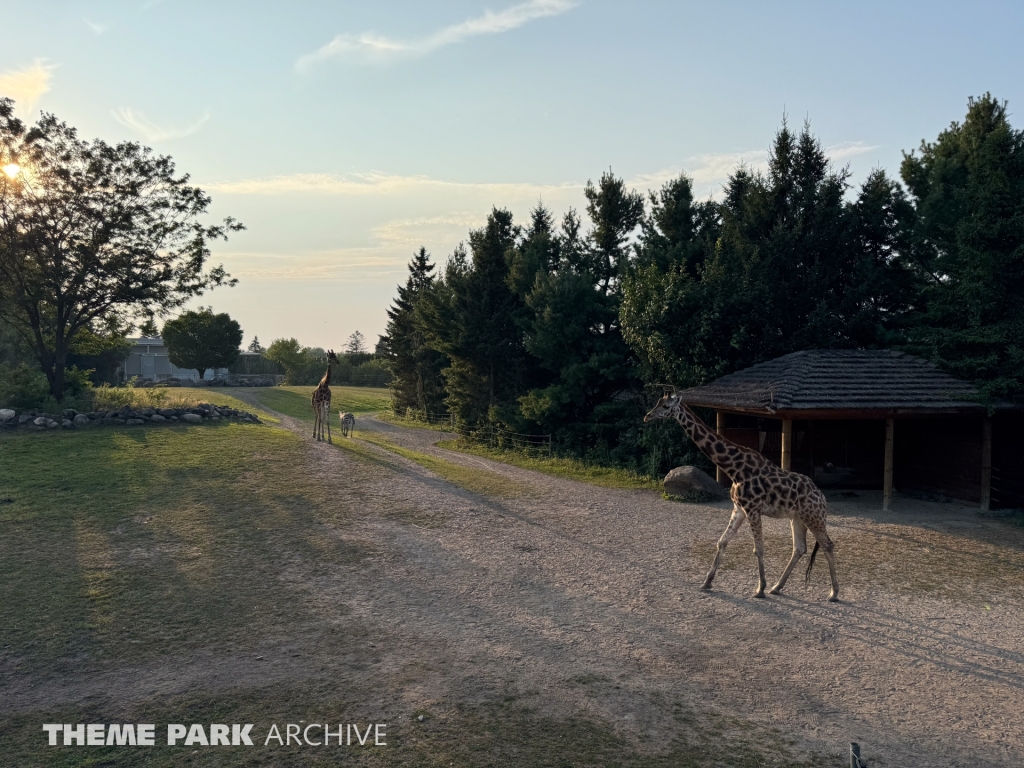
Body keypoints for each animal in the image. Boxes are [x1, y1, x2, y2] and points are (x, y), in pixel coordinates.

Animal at [647, 393, 839, 606]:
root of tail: (822, 497)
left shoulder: (753, 509)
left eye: (665, 406)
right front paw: (707, 582)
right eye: (657, 403)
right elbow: (722, 541)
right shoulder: (739, 509)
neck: (734, 469)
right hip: (797, 518)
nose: (647, 416)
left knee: (827, 545)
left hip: (813, 516)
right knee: (799, 548)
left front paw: (759, 589)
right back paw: (777, 587)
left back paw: (833, 593)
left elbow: (758, 549)